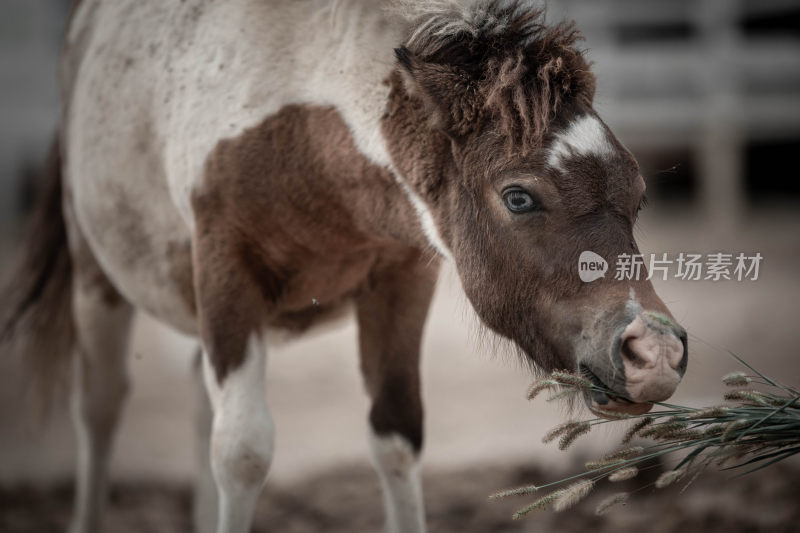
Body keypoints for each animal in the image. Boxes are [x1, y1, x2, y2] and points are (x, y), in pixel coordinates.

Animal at [1, 1, 688, 532]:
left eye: (640, 195)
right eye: (519, 196)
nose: (653, 353)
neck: (305, 123)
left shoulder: (402, 280)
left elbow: (397, 436)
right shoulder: (227, 278)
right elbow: (242, 453)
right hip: (99, 282)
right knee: (100, 407)